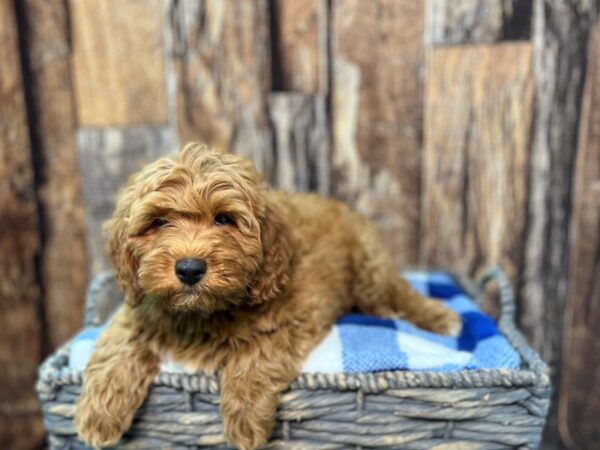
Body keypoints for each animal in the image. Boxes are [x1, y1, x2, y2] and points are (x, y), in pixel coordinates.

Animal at [74, 144, 460, 450]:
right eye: (157, 222)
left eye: (224, 219)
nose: (189, 269)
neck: (204, 311)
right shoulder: (139, 309)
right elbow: (117, 347)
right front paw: (98, 416)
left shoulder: (294, 314)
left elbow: (256, 355)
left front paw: (245, 420)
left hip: (369, 268)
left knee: (397, 293)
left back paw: (441, 317)